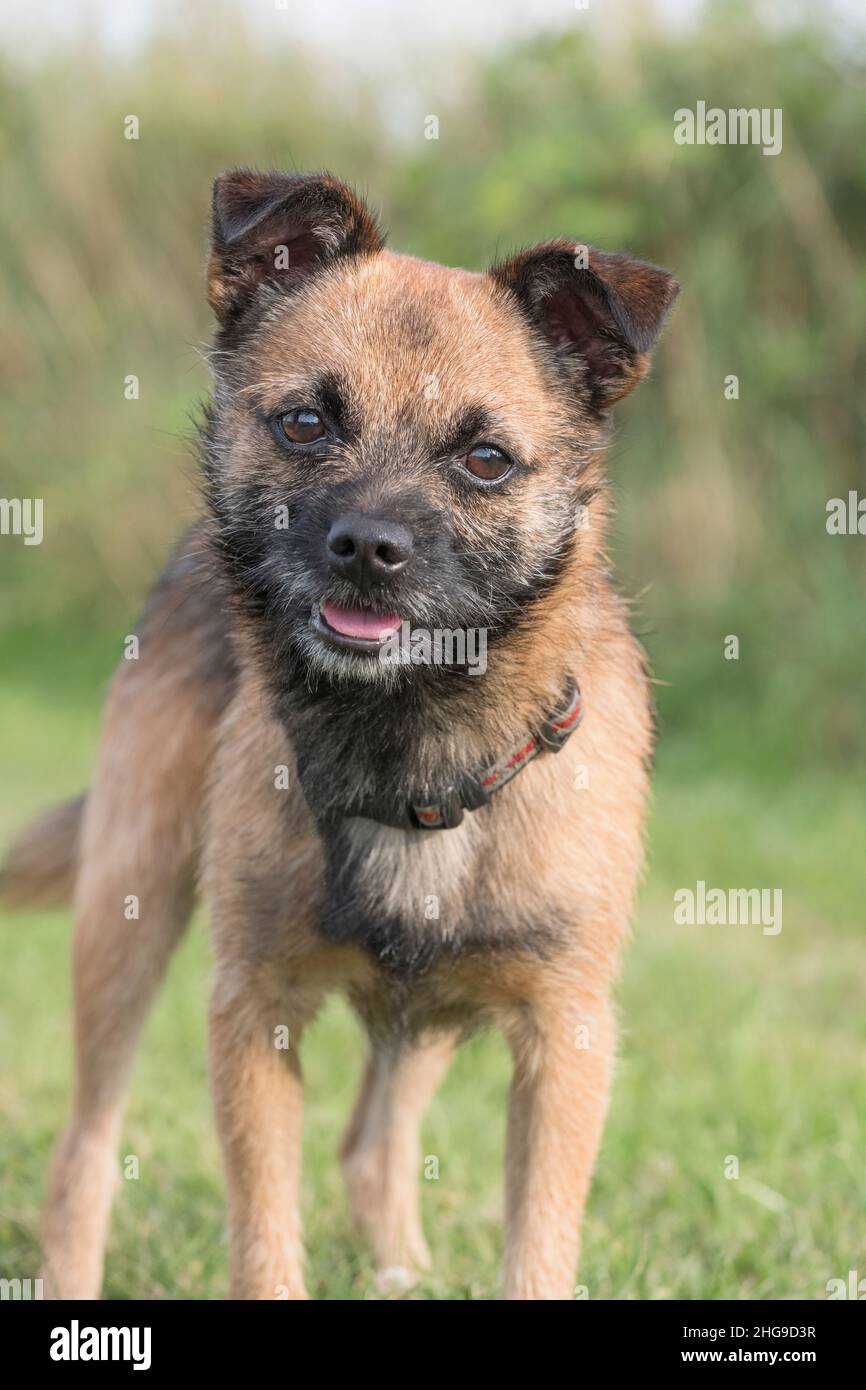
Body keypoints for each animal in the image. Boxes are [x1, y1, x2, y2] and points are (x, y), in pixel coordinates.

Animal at [1, 168, 678, 1295]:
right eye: (306, 422)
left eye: (485, 459)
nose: (368, 547)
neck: (413, 738)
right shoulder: (252, 1012)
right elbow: (265, 1241)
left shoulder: (565, 1036)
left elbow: (536, 1248)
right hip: (127, 909)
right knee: (84, 1152)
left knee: (372, 1143)